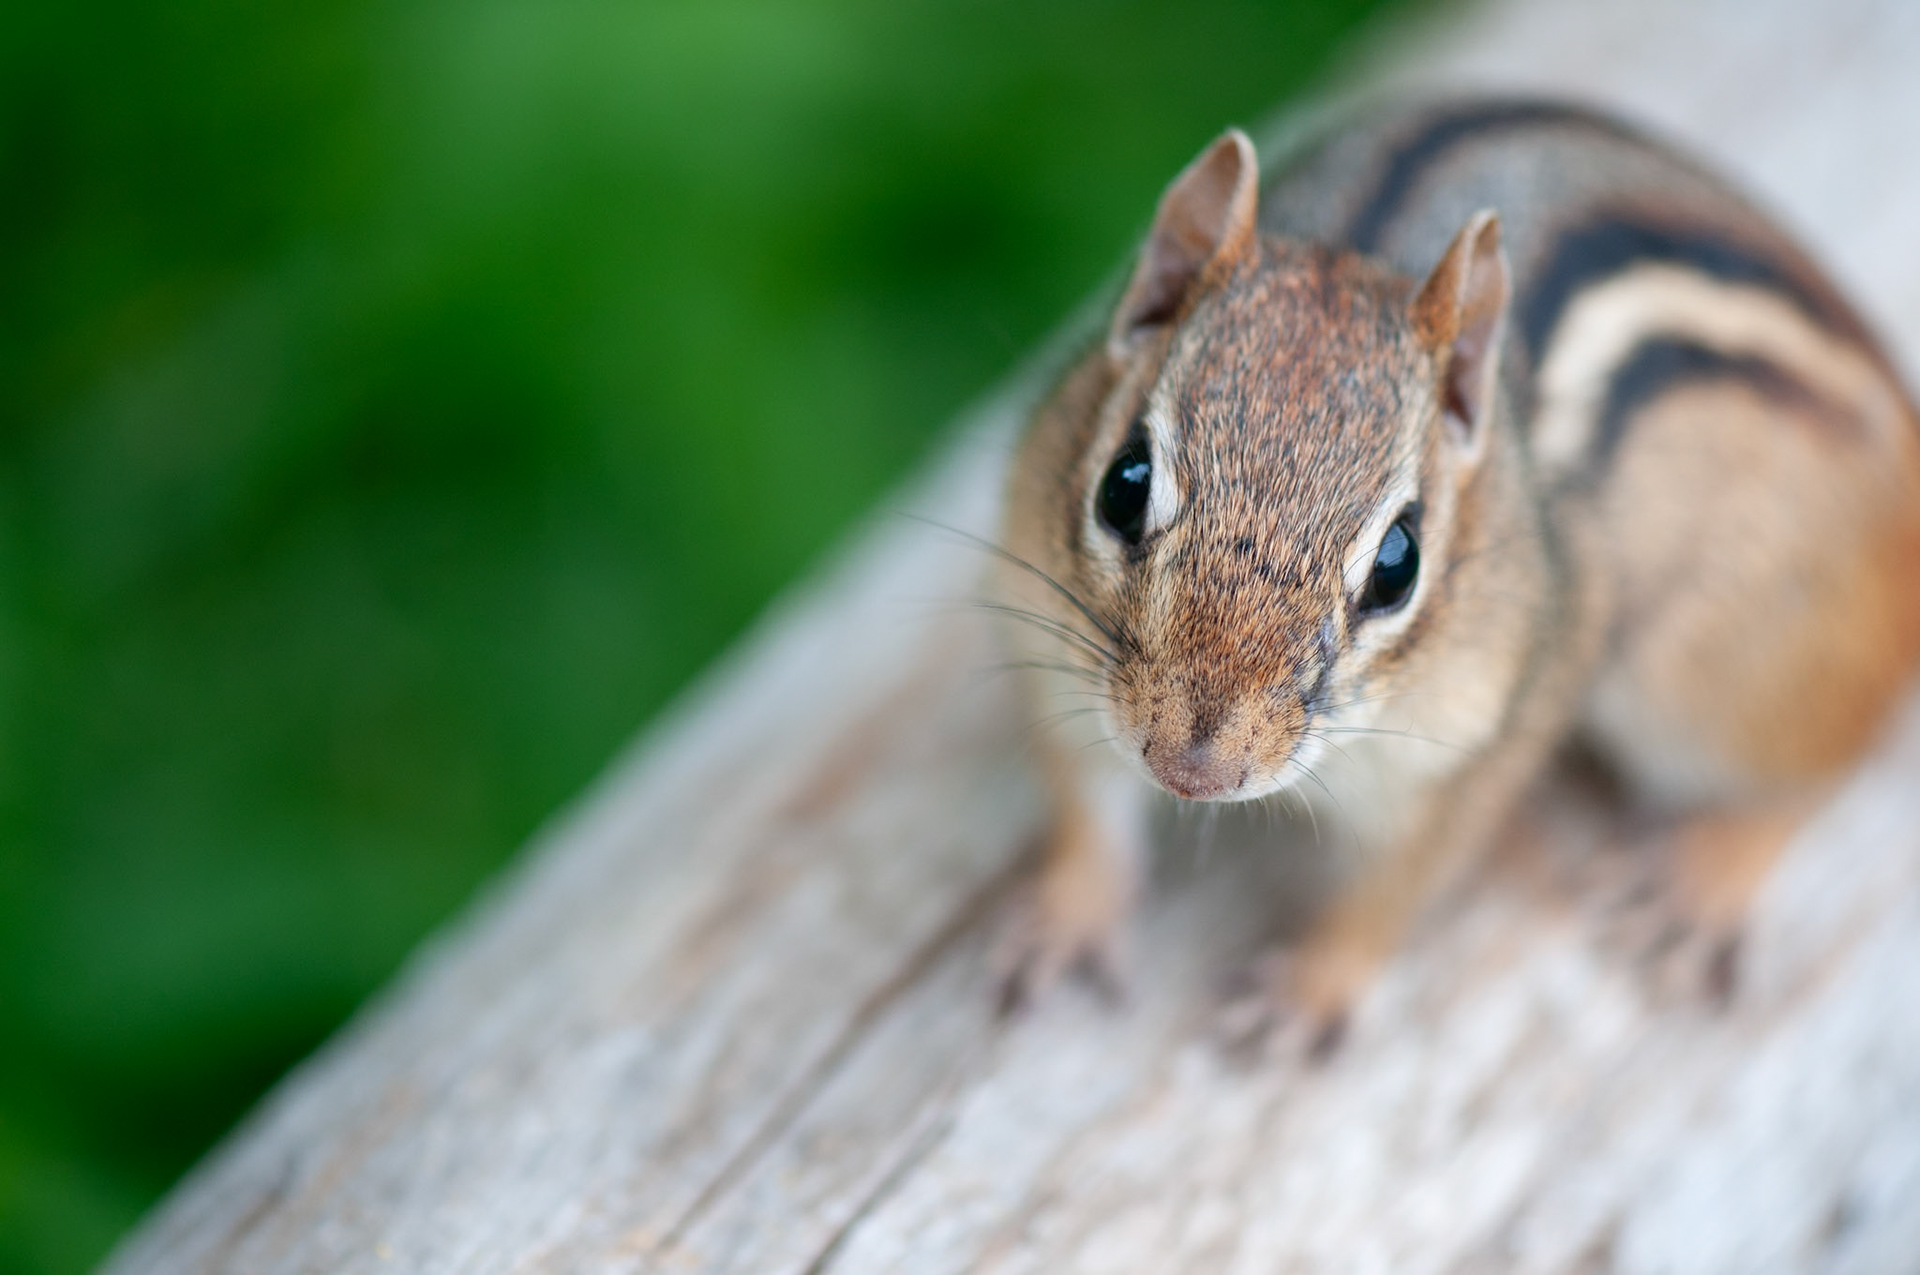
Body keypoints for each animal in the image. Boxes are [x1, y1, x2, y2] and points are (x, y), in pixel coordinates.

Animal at [993, 97, 1920, 1051]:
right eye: (1123, 483)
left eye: (1398, 564)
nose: (1193, 770)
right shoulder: (1051, 632)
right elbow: (1082, 796)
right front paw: (1068, 908)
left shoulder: (1486, 733)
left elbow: (1397, 888)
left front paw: (1313, 989)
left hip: (1730, 672)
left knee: (1815, 771)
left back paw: (1704, 878)